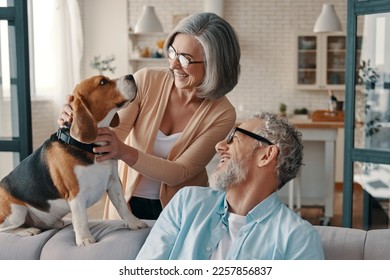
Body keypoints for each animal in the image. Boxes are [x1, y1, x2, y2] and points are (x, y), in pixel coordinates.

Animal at [0, 74, 148, 245]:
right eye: (103, 82)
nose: (131, 76)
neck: (89, 146)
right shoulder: (76, 194)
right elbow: (81, 219)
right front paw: (85, 239)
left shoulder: (114, 182)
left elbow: (122, 205)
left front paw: (134, 223)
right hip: (16, 212)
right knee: (7, 228)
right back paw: (28, 230)